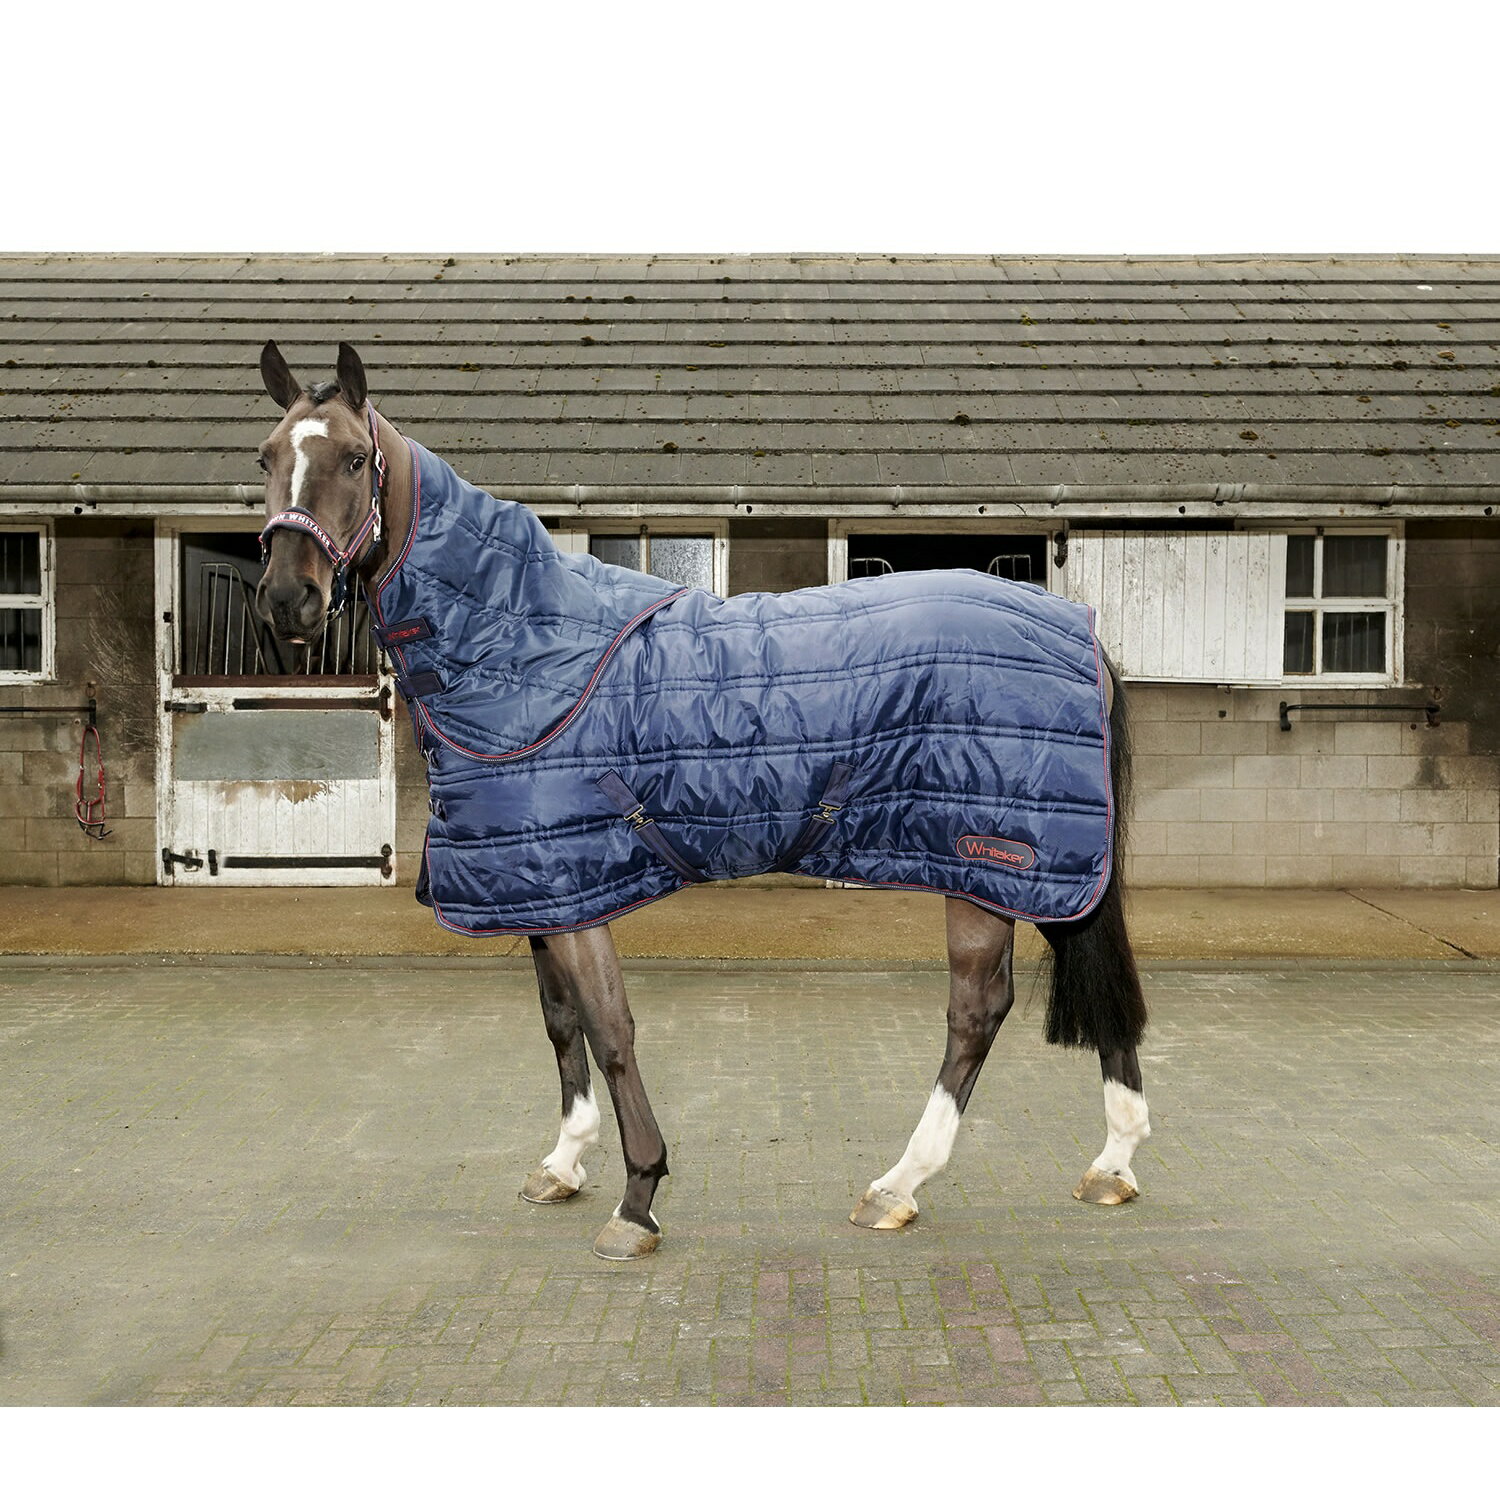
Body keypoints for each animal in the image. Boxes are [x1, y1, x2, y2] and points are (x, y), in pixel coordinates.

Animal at [254, 341, 1151, 1261]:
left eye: (352, 459)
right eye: (267, 458)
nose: (289, 600)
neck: (517, 646)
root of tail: (1078, 630)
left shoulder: (578, 891)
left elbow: (611, 1031)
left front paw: (638, 1197)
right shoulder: (540, 883)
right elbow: (561, 1023)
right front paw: (564, 1163)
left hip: (992, 867)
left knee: (976, 1012)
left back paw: (901, 1184)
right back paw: (1111, 1164)